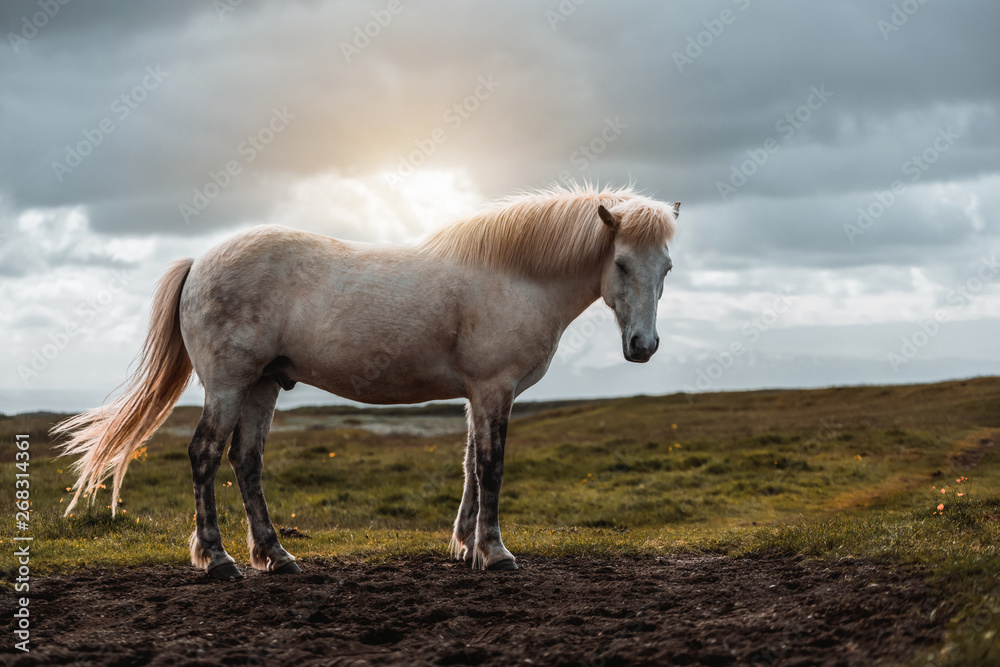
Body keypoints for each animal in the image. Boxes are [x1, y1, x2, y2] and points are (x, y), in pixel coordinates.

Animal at [56, 185, 680, 580]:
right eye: (622, 264)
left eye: (667, 267)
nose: (643, 347)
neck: (514, 276)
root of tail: (200, 263)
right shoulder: (493, 390)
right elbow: (490, 466)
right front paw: (494, 551)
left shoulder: (476, 396)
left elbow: (469, 465)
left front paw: (464, 547)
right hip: (230, 385)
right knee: (206, 455)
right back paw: (218, 559)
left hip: (262, 387)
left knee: (246, 460)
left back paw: (276, 556)